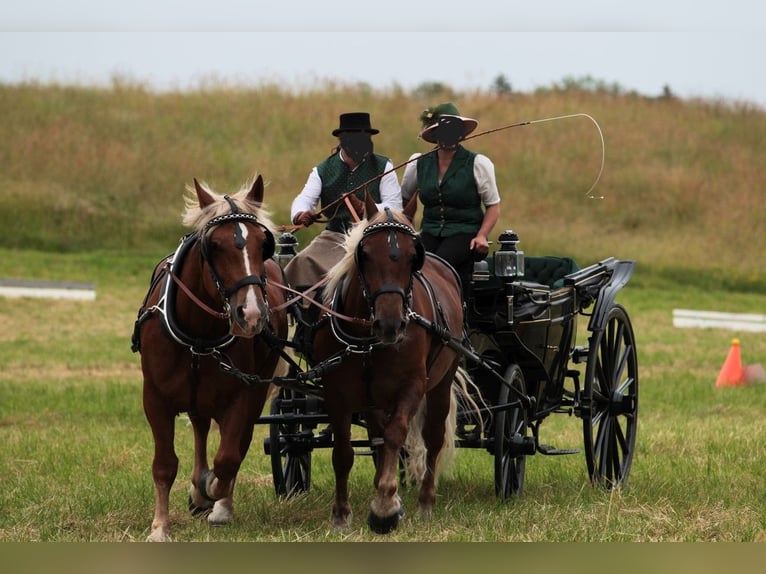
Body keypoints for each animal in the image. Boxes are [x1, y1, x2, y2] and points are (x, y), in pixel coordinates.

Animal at [316, 197, 472, 536]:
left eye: (414, 257)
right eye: (364, 254)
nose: (390, 325)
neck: (367, 341)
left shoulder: (411, 386)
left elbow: (396, 435)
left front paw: (385, 507)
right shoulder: (336, 392)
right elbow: (344, 452)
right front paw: (341, 513)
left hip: (441, 381)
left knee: (432, 437)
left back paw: (425, 501)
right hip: (374, 398)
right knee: (377, 436)